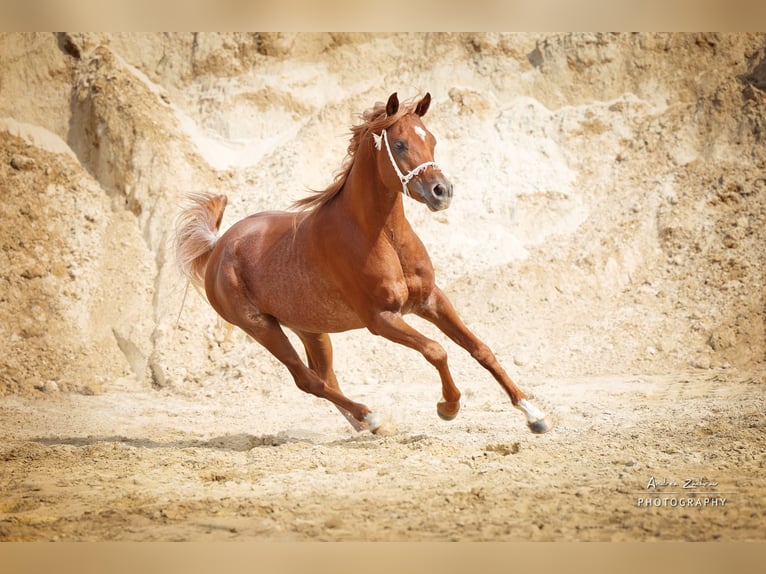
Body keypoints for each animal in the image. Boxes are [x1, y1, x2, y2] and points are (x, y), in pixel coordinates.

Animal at [174, 92, 551, 435]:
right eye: (400, 144)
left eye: (432, 139)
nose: (442, 192)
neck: (382, 235)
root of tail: (220, 246)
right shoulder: (380, 318)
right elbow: (436, 351)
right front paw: (448, 406)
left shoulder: (431, 300)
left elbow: (480, 349)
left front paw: (533, 414)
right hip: (261, 328)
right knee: (308, 381)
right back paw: (372, 418)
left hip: (310, 327)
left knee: (325, 377)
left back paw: (365, 424)